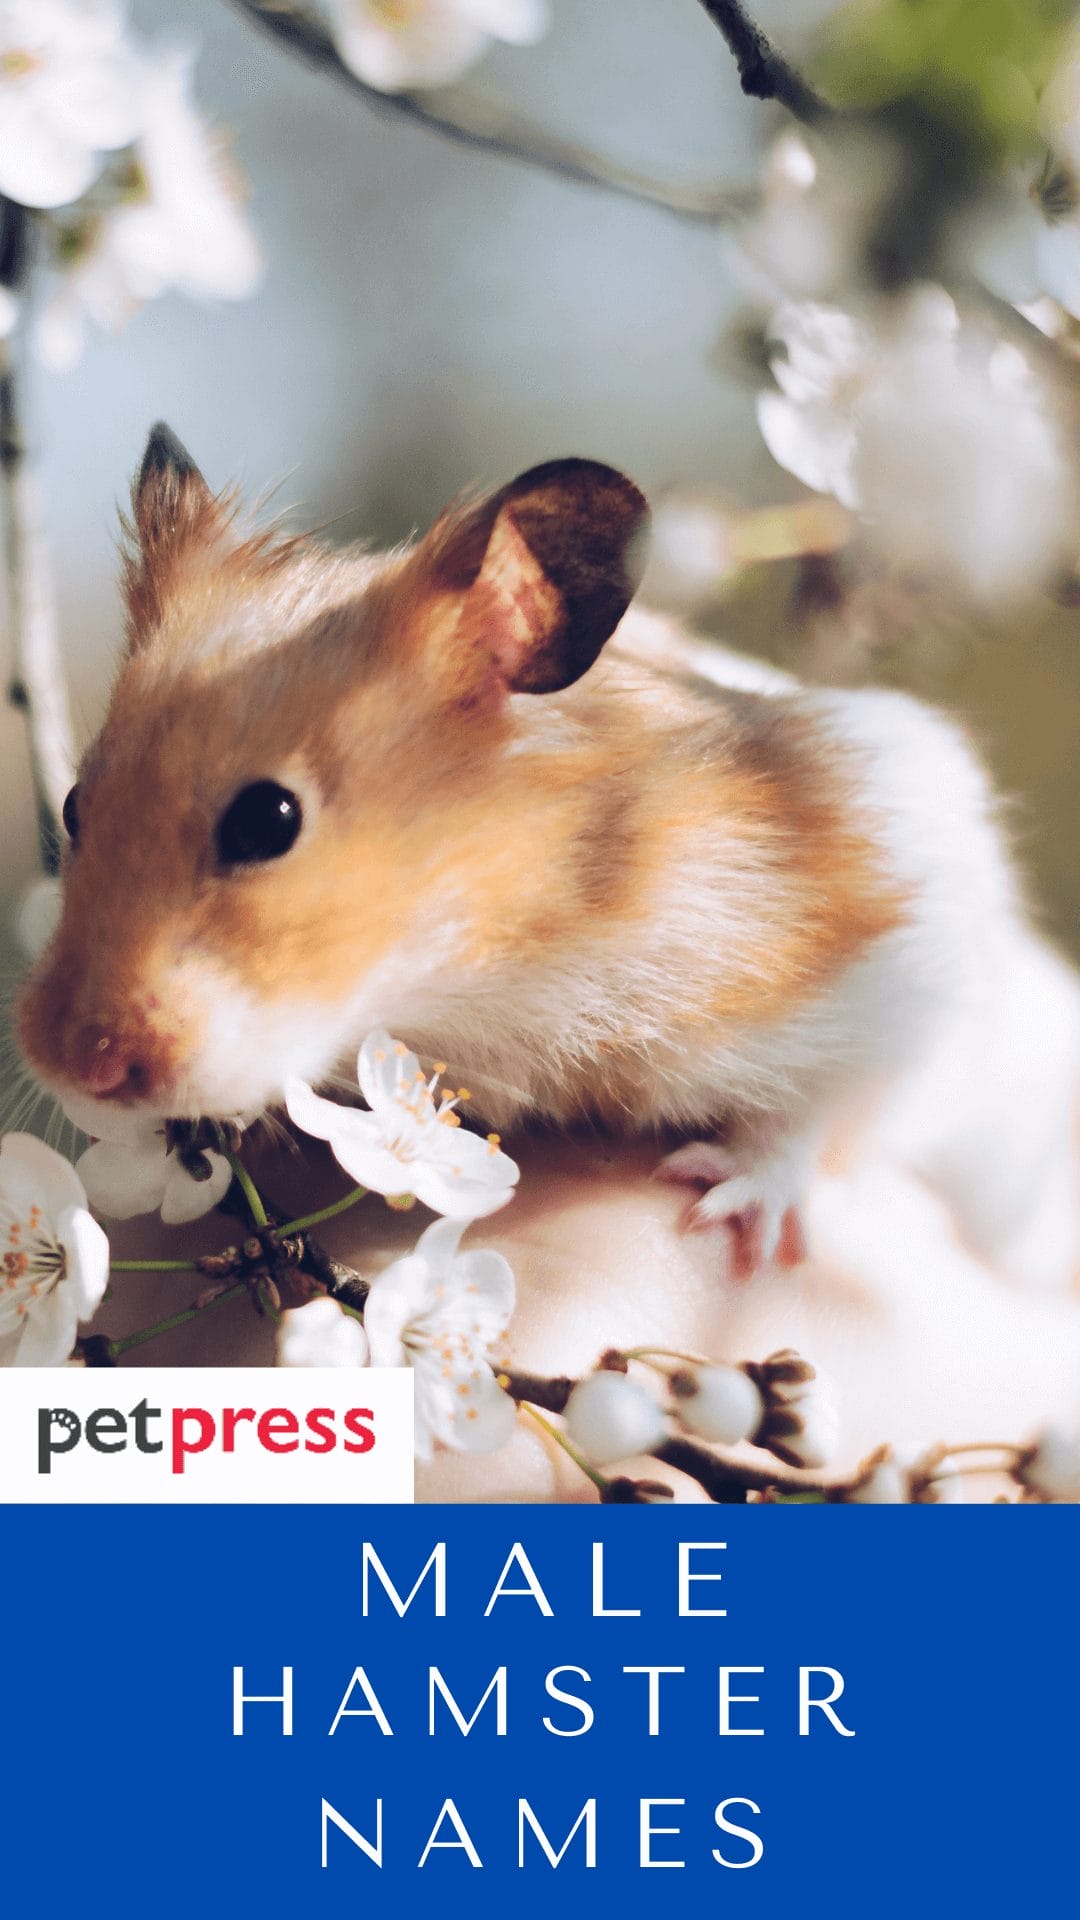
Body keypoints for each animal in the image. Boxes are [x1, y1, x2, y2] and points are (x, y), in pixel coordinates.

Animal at [17, 424, 1080, 1281]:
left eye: (267, 821)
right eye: (72, 804)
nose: (71, 1065)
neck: (498, 961)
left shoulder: (912, 943)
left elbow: (826, 1111)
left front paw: (724, 1207)